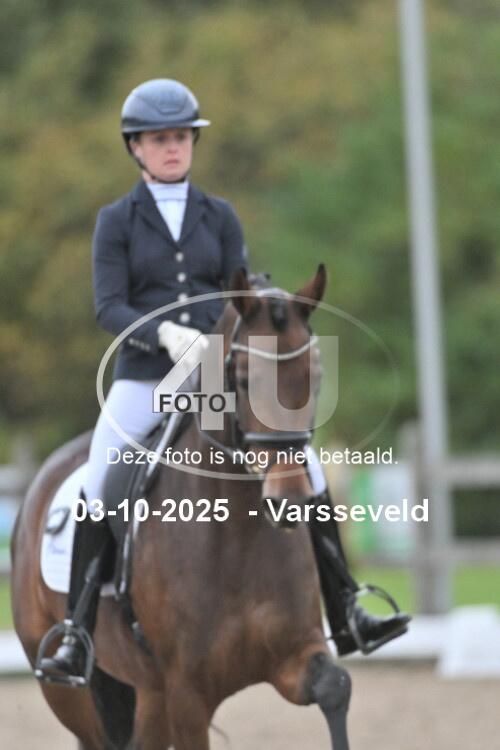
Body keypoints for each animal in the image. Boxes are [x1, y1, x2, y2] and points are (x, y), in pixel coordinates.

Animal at [10, 265, 352, 750]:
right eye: (243, 379)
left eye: (315, 377)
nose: (289, 501)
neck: (237, 535)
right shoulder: (188, 694)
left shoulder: (295, 654)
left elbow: (335, 687)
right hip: (73, 695)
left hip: (147, 692)